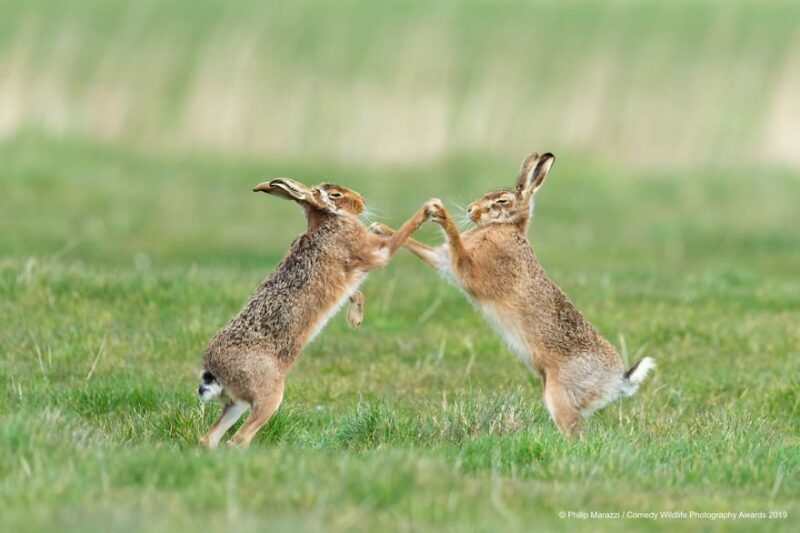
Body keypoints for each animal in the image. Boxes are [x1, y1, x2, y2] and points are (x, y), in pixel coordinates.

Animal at [197, 178, 431, 448]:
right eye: (336, 194)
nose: (361, 201)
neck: (327, 220)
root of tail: (214, 369)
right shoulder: (374, 252)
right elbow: (401, 234)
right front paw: (428, 210)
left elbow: (355, 292)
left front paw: (355, 319)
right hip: (268, 395)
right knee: (238, 439)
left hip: (237, 403)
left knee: (209, 438)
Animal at [370, 153, 655, 435]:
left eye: (501, 201)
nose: (471, 210)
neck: (504, 227)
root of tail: (618, 380)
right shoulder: (444, 262)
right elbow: (419, 246)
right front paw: (379, 228)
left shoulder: (468, 269)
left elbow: (456, 244)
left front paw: (439, 213)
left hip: (559, 395)